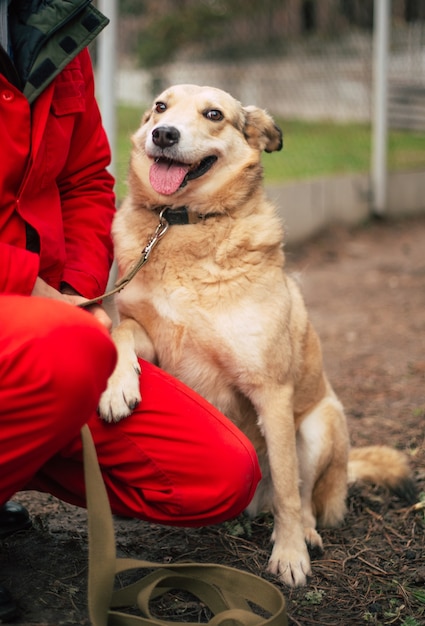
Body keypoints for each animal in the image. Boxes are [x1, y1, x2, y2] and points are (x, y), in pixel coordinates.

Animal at [97, 83, 414, 584]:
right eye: (161, 107)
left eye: (213, 114)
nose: (163, 134)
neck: (185, 223)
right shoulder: (156, 341)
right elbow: (121, 331)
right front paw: (117, 388)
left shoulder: (271, 390)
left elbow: (287, 487)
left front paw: (289, 556)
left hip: (320, 425)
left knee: (302, 496)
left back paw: (306, 533)